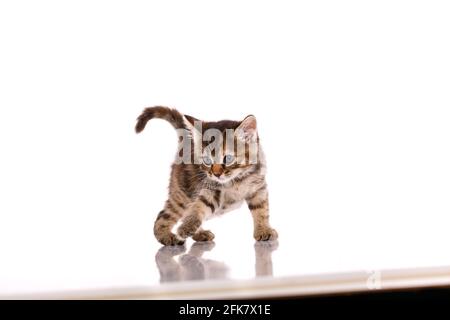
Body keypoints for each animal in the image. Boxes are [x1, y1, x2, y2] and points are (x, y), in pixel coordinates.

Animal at [134, 106, 278, 246]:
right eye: (207, 160)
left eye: (228, 158)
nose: (216, 174)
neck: (237, 180)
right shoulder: (211, 188)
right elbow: (199, 206)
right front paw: (186, 227)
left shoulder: (259, 188)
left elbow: (261, 210)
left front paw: (264, 230)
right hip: (182, 194)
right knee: (165, 215)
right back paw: (167, 236)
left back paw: (198, 234)